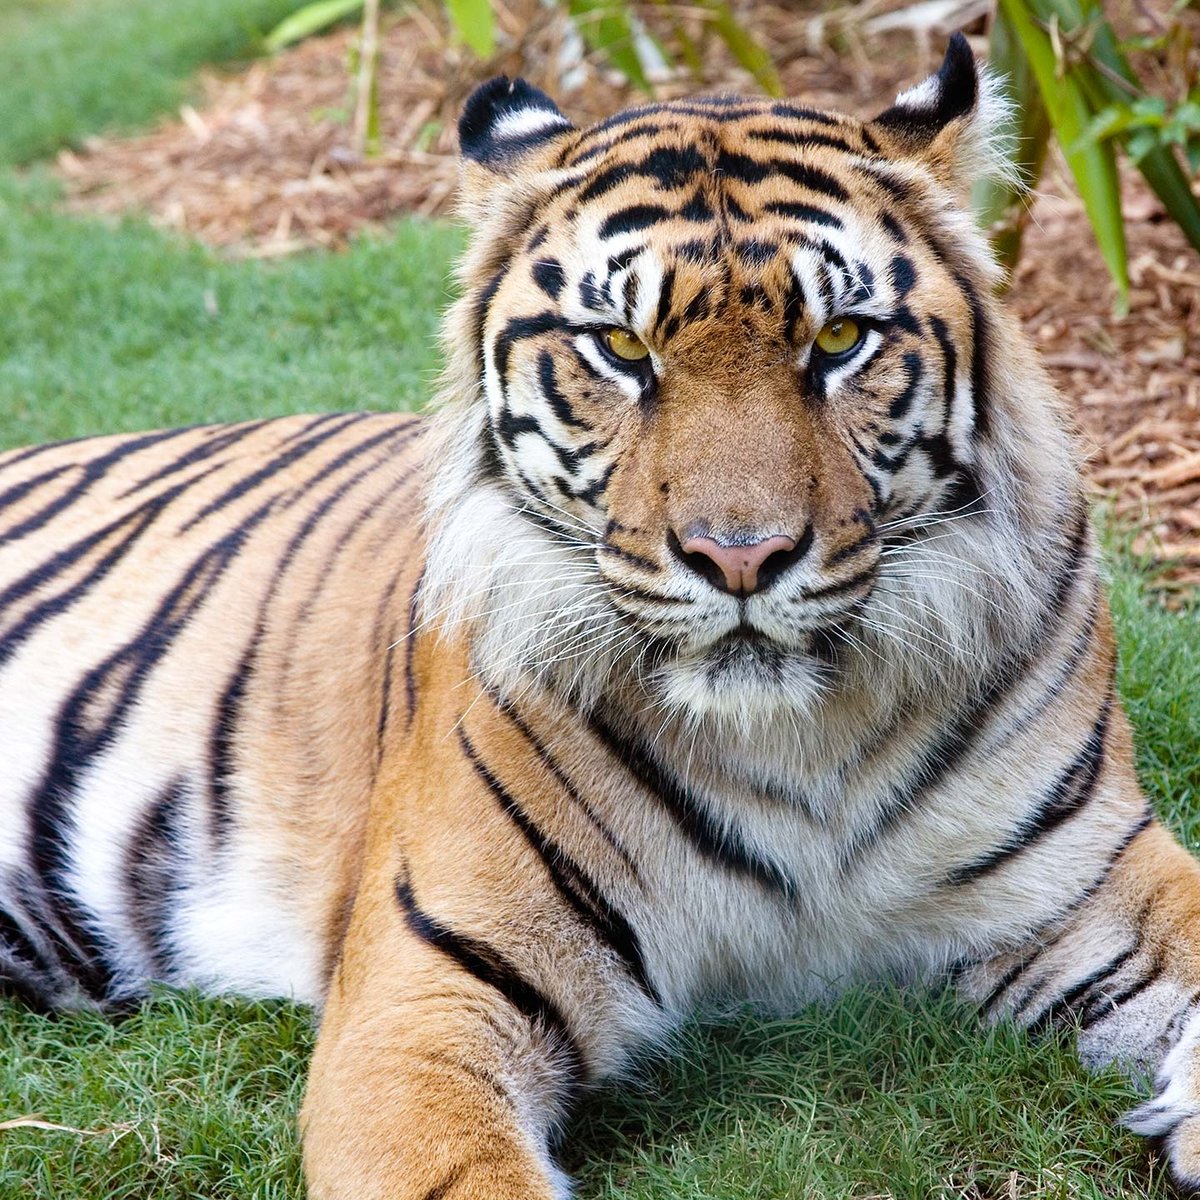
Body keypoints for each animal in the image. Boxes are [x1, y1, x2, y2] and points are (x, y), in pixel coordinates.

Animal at [2, 32, 1200, 1195]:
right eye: (622, 351)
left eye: (838, 341)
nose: (740, 556)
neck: (801, 741)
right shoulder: (426, 996)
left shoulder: (1092, 874)